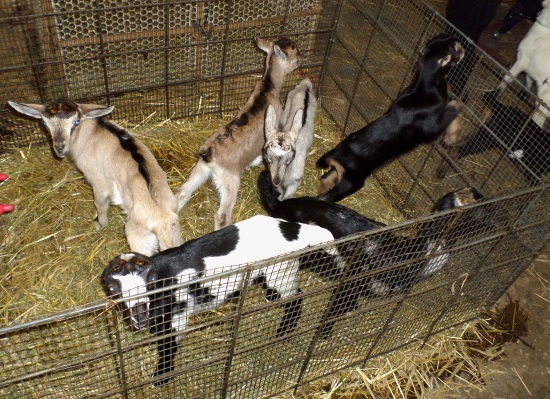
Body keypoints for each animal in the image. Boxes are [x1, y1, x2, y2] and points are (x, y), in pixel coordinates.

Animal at [7, 100, 183, 256]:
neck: (91, 133)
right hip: (176, 233)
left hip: (138, 237)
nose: (60, 148)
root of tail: (162, 222)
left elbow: (100, 204)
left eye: (76, 122)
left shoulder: (98, 181)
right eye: (44, 123)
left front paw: (101, 225)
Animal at [102, 217, 340, 386]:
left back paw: (284, 331)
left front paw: (161, 377)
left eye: (151, 280)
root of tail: (292, 229)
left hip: (281, 272)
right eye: (113, 289)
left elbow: (168, 348)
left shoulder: (179, 316)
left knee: (297, 297)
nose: (140, 316)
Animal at [177, 38, 302, 231]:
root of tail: (208, 154)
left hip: (200, 169)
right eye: (294, 50)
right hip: (230, 181)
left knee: (182, 193)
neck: (269, 88)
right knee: (221, 215)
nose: (301, 59)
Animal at [320, 33, 466, 203]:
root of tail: (336, 153)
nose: (461, 43)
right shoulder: (431, 127)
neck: (424, 87)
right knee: (325, 196)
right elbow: (454, 107)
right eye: (455, 47)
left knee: (325, 178)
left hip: (343, 174)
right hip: (352, 182)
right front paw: (452, 137)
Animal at [500, 0, 550, 128]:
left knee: (538, 120)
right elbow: (528, 82)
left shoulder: (522, 60)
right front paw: (523, 95)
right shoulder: (530, 70)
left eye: (516, 12)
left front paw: (497, 93)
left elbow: (508, 78)